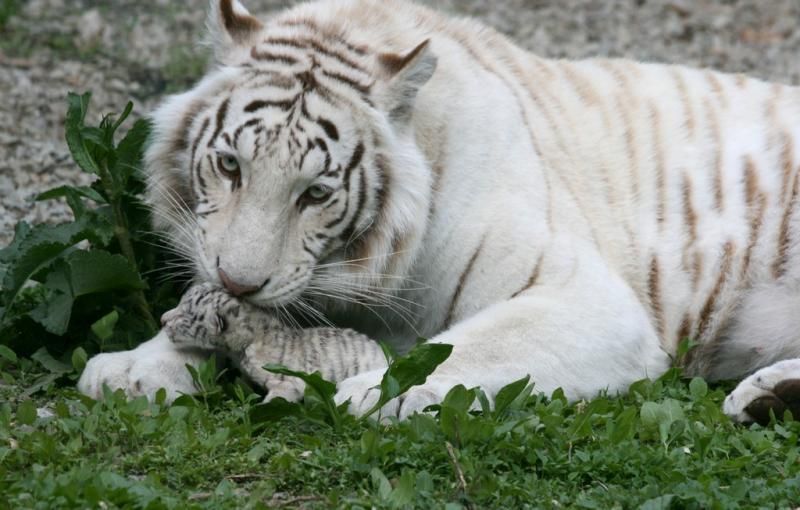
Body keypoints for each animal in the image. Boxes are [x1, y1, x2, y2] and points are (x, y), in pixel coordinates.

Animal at [78, 0, 800, 422]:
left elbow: (462, 347)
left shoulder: (585, 299)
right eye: (230, 166)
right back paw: (769, 396)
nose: (239, 281)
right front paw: (134, 368)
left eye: (315, 193)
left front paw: (365, 390)